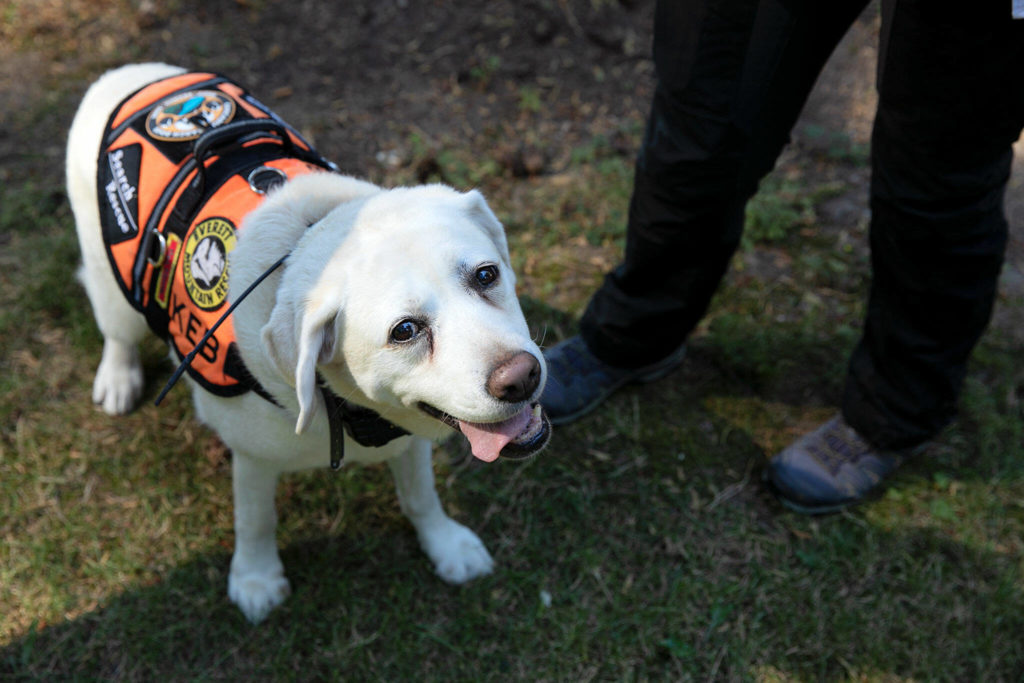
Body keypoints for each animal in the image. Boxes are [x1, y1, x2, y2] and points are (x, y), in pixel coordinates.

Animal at [67, 63, 548, 626]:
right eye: (405, 331)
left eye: (487, 274)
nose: (523, 378)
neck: (344, 411)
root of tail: (130, 72)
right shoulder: (252, 457)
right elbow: (256, 520)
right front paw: (255, 579)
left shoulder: (408, 443)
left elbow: (420, 497)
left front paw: (445, 544)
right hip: (112, 285)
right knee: (117, 333)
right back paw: (117, 380)